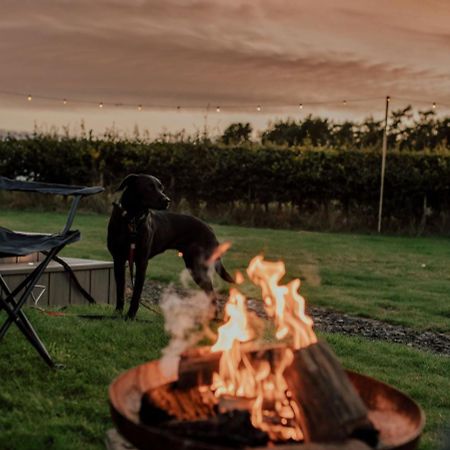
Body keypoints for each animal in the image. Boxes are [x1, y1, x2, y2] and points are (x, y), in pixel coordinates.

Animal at [107, 174, 234, 318]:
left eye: (161, 188)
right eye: (149, 187)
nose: (167, 200)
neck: (132, 218)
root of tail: (210, 229)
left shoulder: (141, 262)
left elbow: (137, 293)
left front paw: (130, 316)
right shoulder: (118, 259)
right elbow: (120, 289)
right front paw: (118, 312)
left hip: (197, 266)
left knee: (211, 293)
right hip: (193, 265)